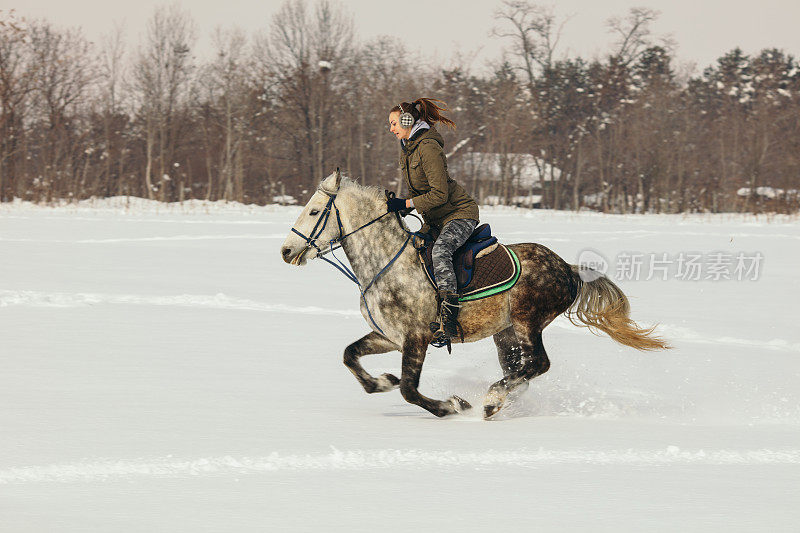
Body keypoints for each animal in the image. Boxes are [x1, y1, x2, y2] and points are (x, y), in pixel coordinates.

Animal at [282, 168, 668, 418]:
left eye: (314, 211)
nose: (286, 252)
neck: (385, 264)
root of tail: (568, 269)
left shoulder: (417, 337)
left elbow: (410, 390)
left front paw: (452, 405)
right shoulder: (389, 336)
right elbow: (351, 356)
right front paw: (382, 381)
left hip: (528, 321)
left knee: (538, 364)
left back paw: (492, 399)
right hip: (505, 333)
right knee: (522, 370)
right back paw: (500, 399)